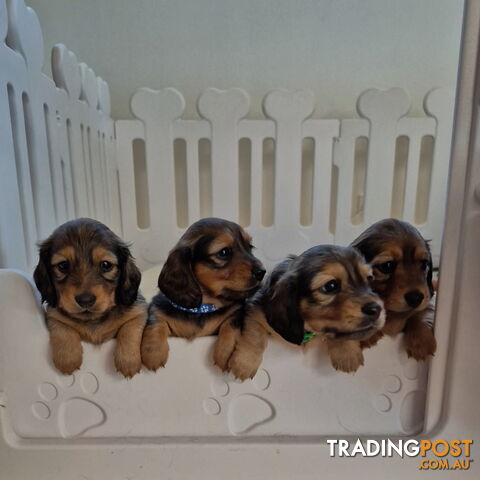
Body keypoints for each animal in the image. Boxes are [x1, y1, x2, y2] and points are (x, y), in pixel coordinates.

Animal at [33, 218, 146, 378]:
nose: (85, 300)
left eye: (106, 265)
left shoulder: (139, 310)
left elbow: (130, 329)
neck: (93, 319)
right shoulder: (53, 314)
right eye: (63, 265)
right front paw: (67, 358)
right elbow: (62, 328)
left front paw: (128, 360)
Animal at [142, 218, 266, 372]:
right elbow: (156, 322)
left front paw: (228, 351)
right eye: (224, 252)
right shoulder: (158, 308)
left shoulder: (235, 312)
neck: (202, 307)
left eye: (250, 247)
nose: (262, 272)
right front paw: (153, 352)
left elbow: (231, 324)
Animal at [222, 246, 386, 380]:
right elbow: (254, 337)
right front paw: (244, 363)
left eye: (369, 279)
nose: (376, 309)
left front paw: (347, 353)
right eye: (330, 286)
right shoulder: (255, 309)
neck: (308, 328)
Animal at [350, 218, 436, 360]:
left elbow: (421, 313)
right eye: (387, 266)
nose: (416, 298)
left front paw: (421, 341)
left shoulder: (426, 303)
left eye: (424, 264)